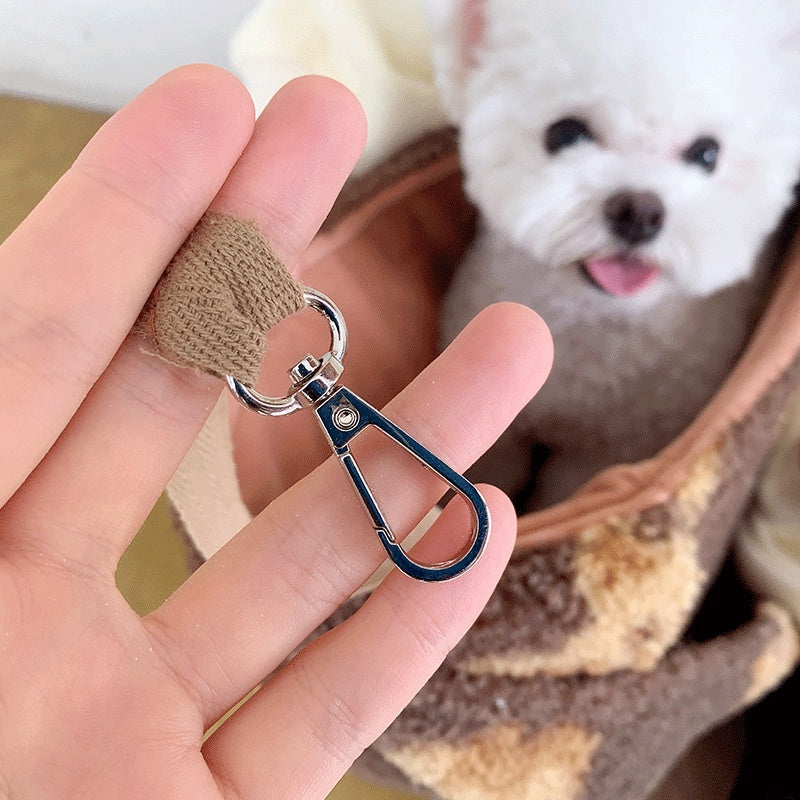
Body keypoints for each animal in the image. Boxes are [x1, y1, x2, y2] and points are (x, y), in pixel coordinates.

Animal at [428, 0, 800, 506]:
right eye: (564, 134)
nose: (639, 211)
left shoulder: (606, 454)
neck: (595, 322)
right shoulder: (502, 425)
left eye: (707, 154)